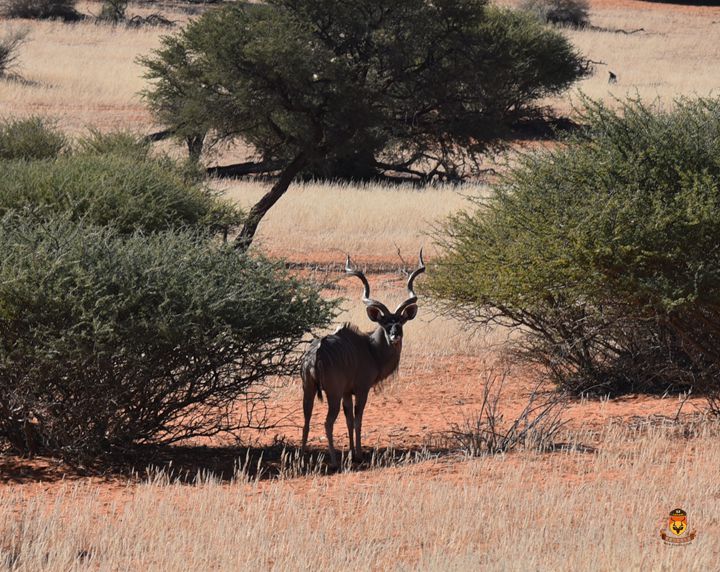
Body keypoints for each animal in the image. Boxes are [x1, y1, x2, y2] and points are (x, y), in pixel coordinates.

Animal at [300, 252, 424, 466]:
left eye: (400, 322)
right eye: (385, 323)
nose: (395, 336)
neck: (370, 349)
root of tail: (315, 354)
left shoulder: (346, 393)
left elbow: (349, 419)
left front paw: (351, 452)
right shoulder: (361, 389)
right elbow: (358, 419)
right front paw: (357, 454)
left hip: (308, 390)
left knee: (306, 420)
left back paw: (302, 456)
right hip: (332, 394)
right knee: (327, 422)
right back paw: (334, 461)